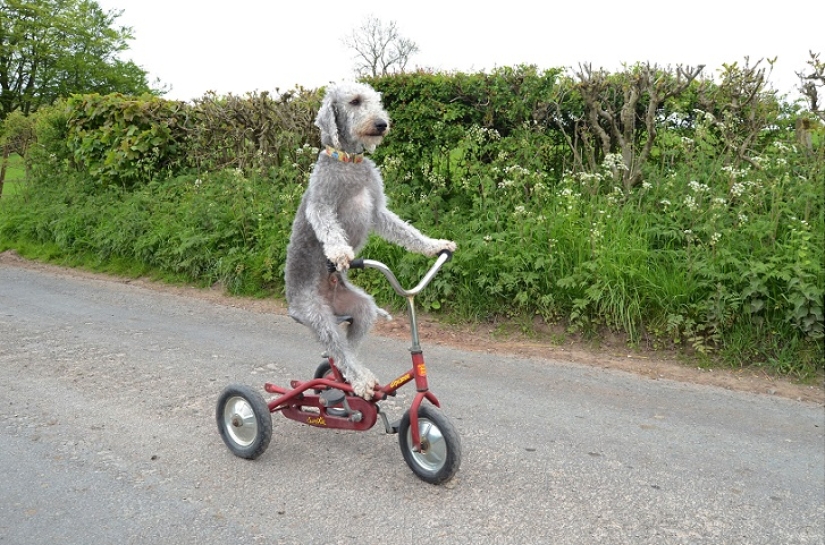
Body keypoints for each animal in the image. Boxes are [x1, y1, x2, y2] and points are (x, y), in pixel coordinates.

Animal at [284, 83, 458, 402]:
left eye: (377, 100)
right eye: (354, 101)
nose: (381, 124)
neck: (349, 162)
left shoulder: (378, 210)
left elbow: (405, 230)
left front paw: (436, 245)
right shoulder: (321, 204)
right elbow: (328, 226)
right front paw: (340, 253)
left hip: (359, 308)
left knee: (346, 351)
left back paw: (353, 378)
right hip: (317, 314)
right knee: (337, 350)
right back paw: (360, 381)